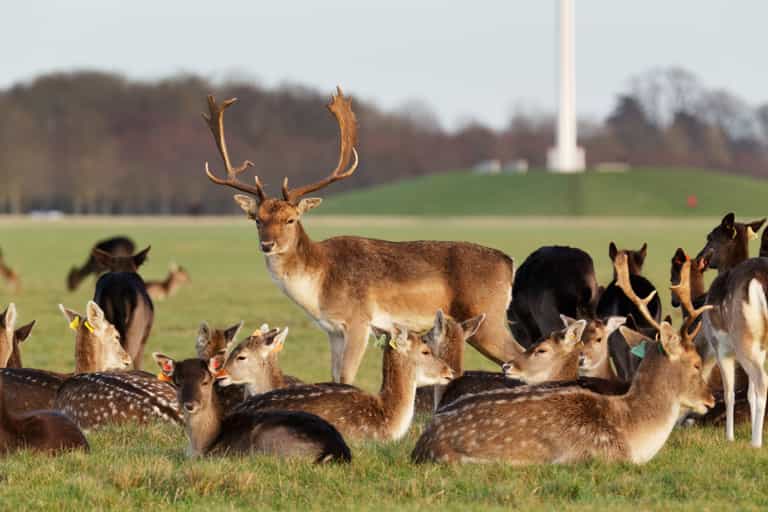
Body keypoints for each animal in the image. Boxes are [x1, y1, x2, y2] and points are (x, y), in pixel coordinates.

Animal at [201, 88, 519, 383]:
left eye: (291, 219)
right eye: (257, 220)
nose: (267, 244)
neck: (319, 285)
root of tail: (509, 262)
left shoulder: (358, 320)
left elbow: (346, 376)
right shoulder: (331, 330)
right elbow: (334, 376)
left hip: (488, 318)